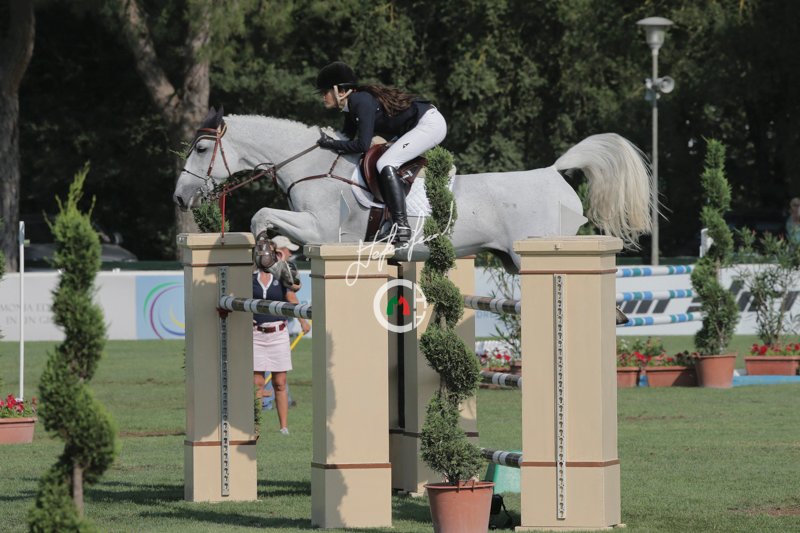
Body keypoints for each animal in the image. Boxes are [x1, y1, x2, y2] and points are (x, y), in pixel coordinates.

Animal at [173, 107, 653, 274]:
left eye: (201, 148)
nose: (179, 197)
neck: (310, 166)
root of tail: (554, 174)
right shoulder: (311, 232)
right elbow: (273, 229)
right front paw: (278, 263)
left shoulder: (324, 233)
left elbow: (261, 217)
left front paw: (266, 258)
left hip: (533, 252)